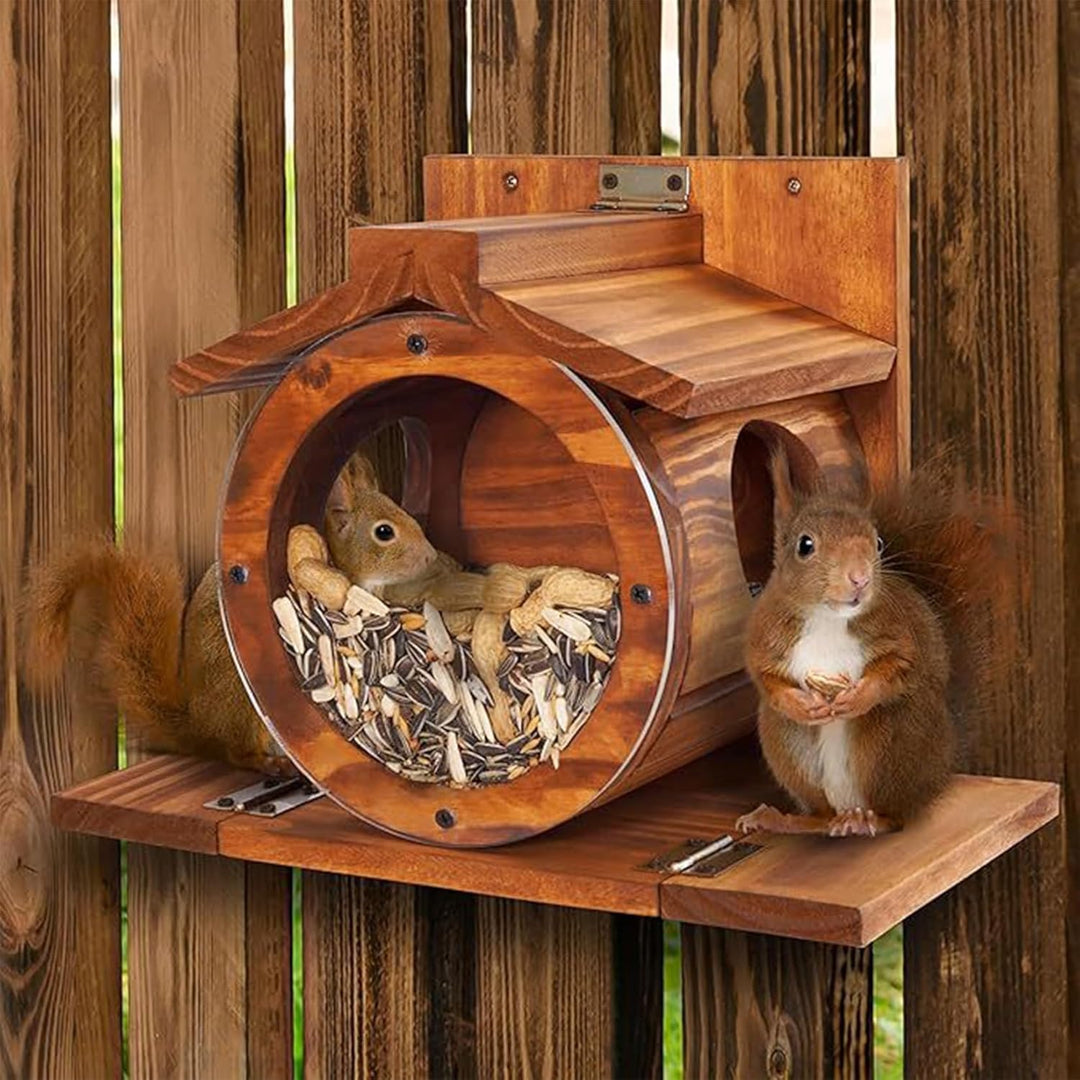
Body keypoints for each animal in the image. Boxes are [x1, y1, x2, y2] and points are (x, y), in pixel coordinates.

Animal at [21, 454, 439, 774]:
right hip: (243, 703)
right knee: (236, 755)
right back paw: (270, 764)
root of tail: (201, 728)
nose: (431, 556)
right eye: (384, 532)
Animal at [735, 445, 1007, 838]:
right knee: (819, 817)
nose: (860, 578)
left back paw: (868, 821)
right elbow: (766, 678)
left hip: (892, 741)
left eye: (878, 543)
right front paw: (800, 704)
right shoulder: (765, 638)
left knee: (896, 816)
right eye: (805, 545)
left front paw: (858, 696)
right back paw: (782, 819)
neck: (829, 619)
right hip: (786, 744)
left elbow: (899, 667)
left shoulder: (900, 632)